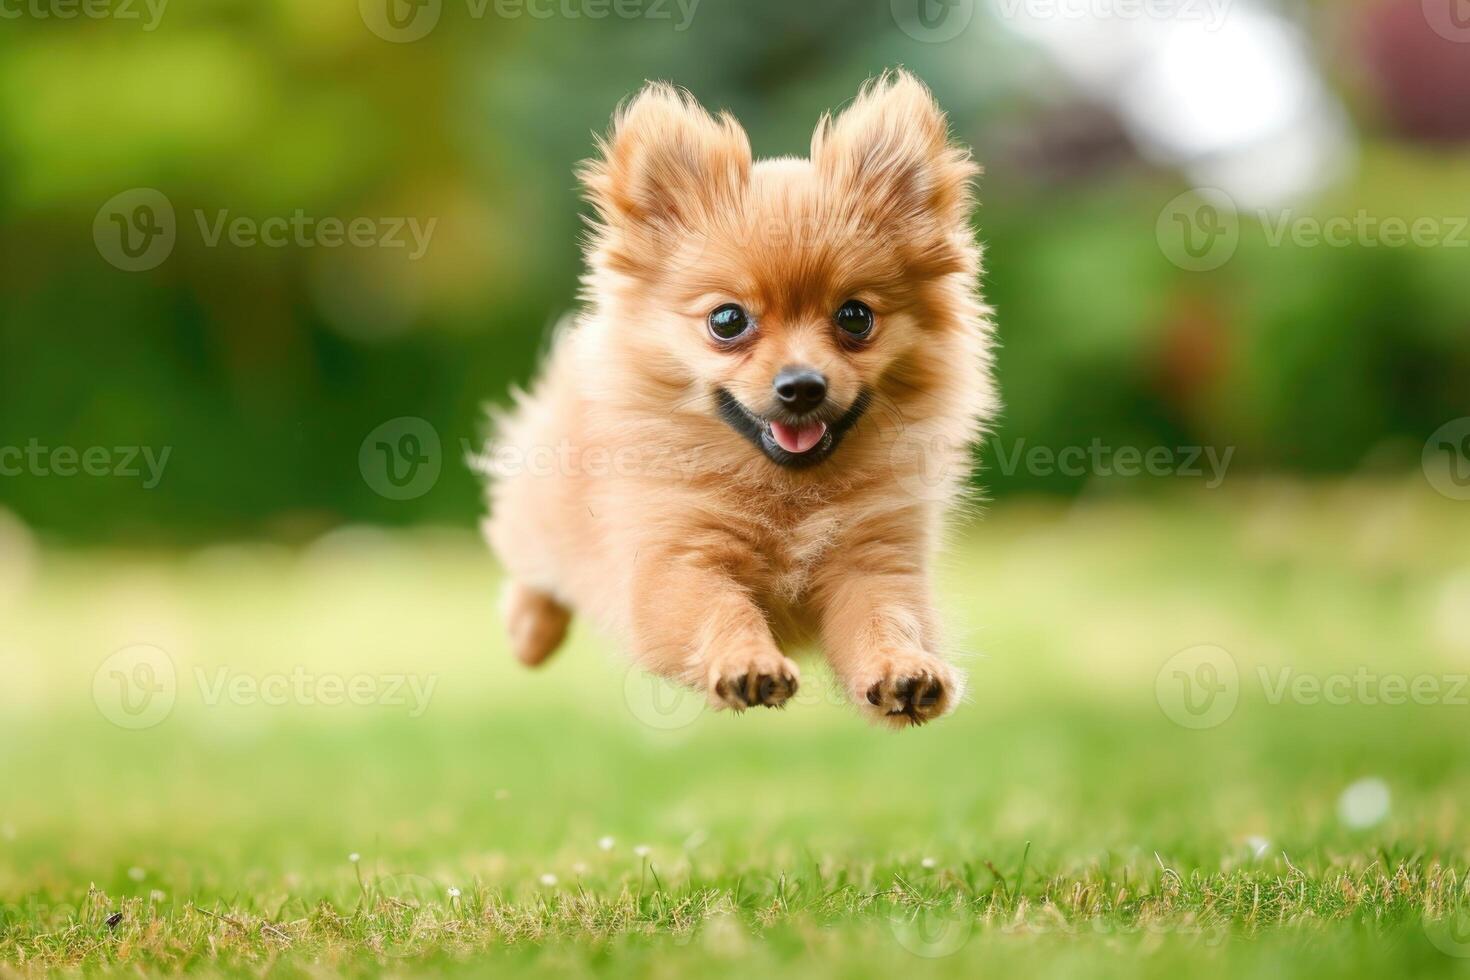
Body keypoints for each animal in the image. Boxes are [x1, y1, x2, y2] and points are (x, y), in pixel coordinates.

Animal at [482, 70, 999, 728]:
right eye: (727, 320)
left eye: (855, 317)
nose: (802, 385)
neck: (789, 493)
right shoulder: (678, 562)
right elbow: (721, 611)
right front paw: (746, 663)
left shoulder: (873, 563)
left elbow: (887, 620)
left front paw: (903, 670)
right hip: (543, 512)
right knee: (532, 564)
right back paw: (530, 631)